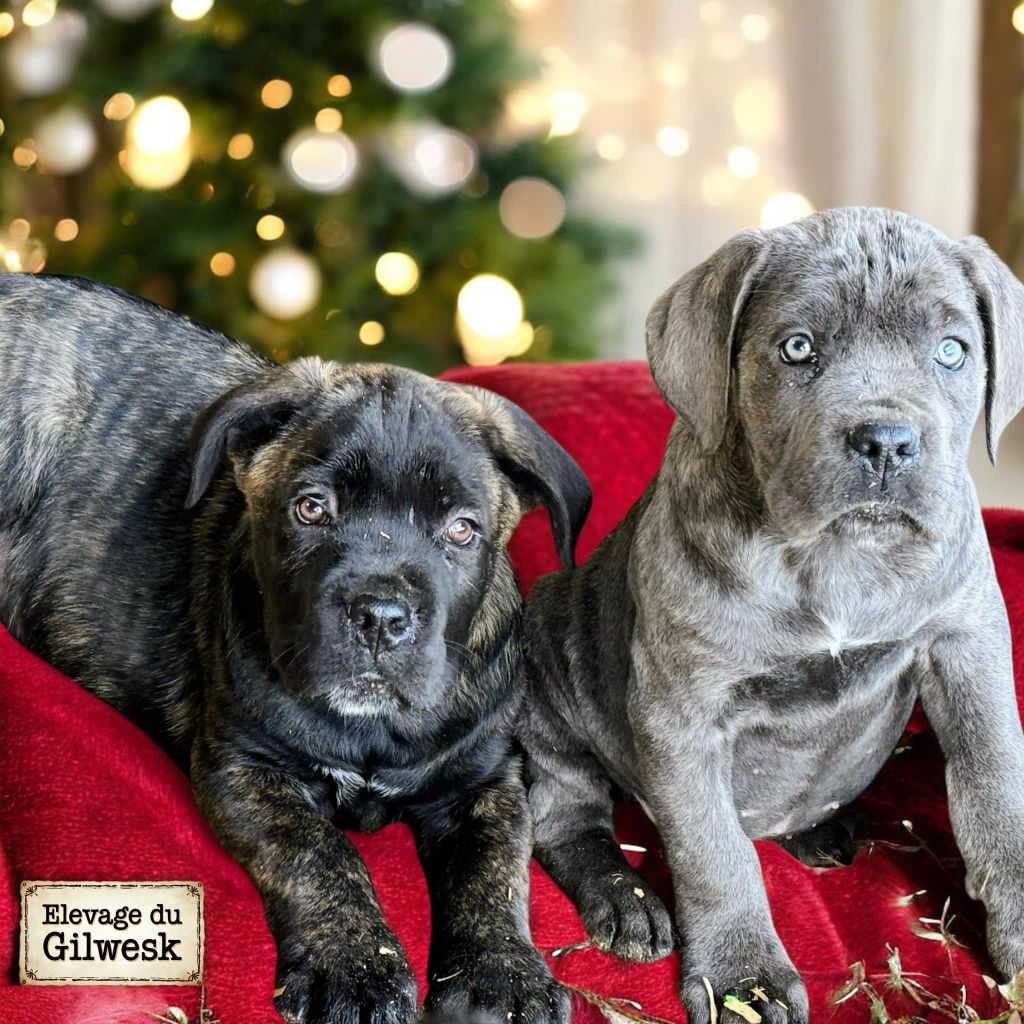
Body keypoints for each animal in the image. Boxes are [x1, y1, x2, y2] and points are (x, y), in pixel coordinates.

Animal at [0, 272, 589, 1024]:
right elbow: (319, 850)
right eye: (311, 509)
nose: (379, 617)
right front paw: (357, 965)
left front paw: (503, 973)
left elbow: (496, 869)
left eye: (462, 529)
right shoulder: (245, 768)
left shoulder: (483, 782)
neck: (372, 730)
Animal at [520, 207, 1024, 1024]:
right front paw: (743, 978)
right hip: (547, 651)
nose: (886, 443)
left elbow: (995, 783)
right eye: (797, 348)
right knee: (567, 812)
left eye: (952, 351)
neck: (839, 561)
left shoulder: (966, 644)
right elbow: (715, 853)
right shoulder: (681, 712)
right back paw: (625, 901)